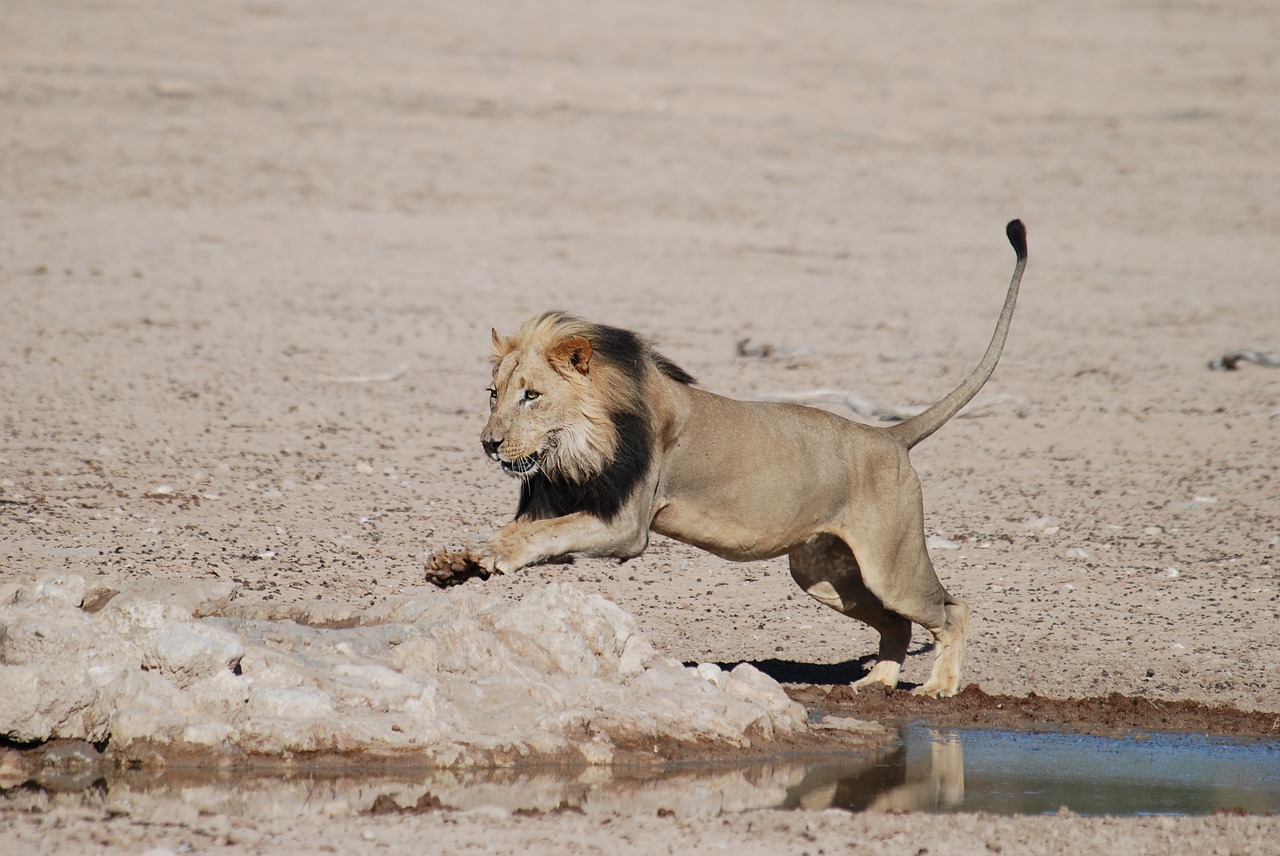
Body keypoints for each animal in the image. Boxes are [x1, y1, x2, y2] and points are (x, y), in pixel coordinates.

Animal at [430, 218, 1029, 696]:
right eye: (493, 394)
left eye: (532, 395)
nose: (488, 443)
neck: (576, 445)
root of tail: (888, 437)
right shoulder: (566, 499)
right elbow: (525, 531)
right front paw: (458, 563)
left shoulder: (625, 527)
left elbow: (543, 536)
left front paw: (493, 556)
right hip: (821, 574)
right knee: (896, 624)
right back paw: (877, 682)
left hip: (891, 567)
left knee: (952, 609)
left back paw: (940, 687)